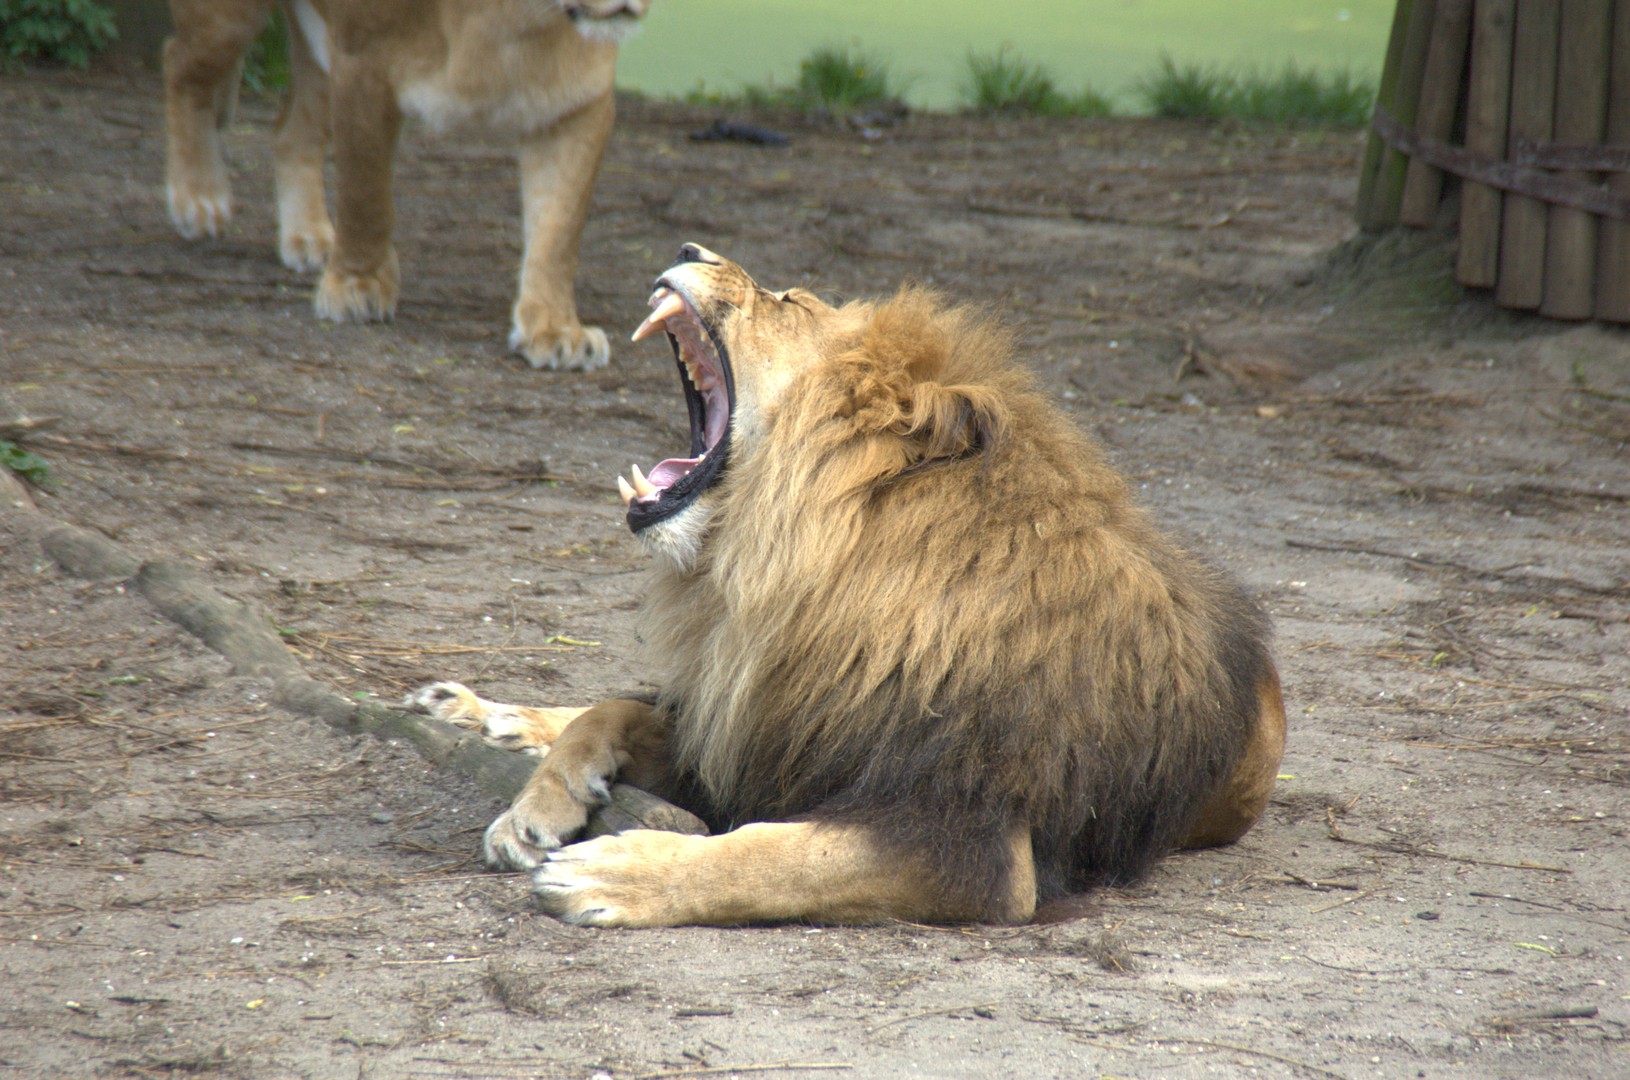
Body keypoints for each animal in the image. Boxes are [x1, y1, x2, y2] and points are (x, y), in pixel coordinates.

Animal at [160, 0, 648, 369]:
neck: (515, 17)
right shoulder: (361, 61)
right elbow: (365, 193)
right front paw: (356, 287)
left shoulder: (577, 103)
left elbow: (558, 233)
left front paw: (555, 330)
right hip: (229, 21)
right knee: (180, 64)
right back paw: (198, 198)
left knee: (289, 133)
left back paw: (308, 236)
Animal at [410, 247, 1284, 931]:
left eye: (789, 301)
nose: (690, 245)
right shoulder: (760, 728)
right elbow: (610, 710)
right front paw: (534, 808)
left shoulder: (972, 846)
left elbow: (774, 856)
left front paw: (611, 872)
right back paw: (470, 708)